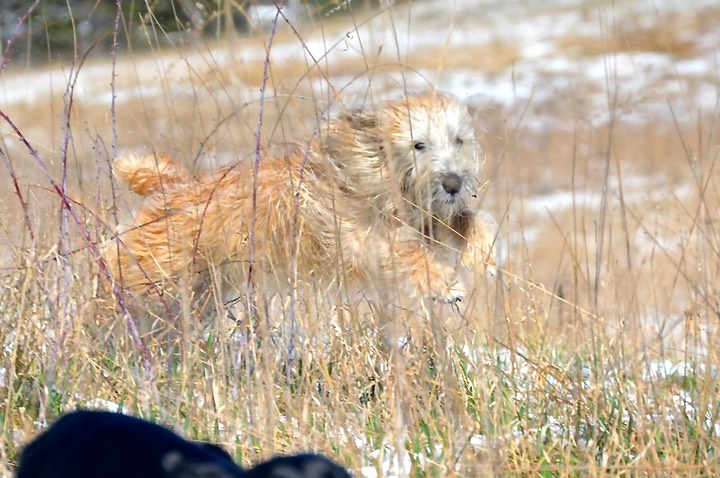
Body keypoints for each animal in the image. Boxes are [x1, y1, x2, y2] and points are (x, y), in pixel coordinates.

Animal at [105, 92, 496, 302]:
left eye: (458, 140)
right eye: (418, 145)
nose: (453, 183)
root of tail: (171, 186)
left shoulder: (429, 219)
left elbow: (467, 220)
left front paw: (483, 252)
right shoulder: (355, 238)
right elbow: (401, 252)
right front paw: (444, 283)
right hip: (148, 272)